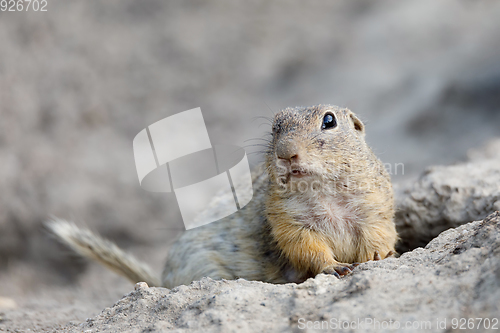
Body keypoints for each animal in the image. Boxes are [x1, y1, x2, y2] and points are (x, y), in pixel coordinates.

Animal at [47, 104, 398, 288]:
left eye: (329, 120)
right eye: (275, 127)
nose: (286, 153)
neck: (322, 191)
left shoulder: (374, 209)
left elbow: (379, 236)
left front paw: (381, 257)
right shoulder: (288, 224)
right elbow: (308, 249)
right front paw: (334, 268)